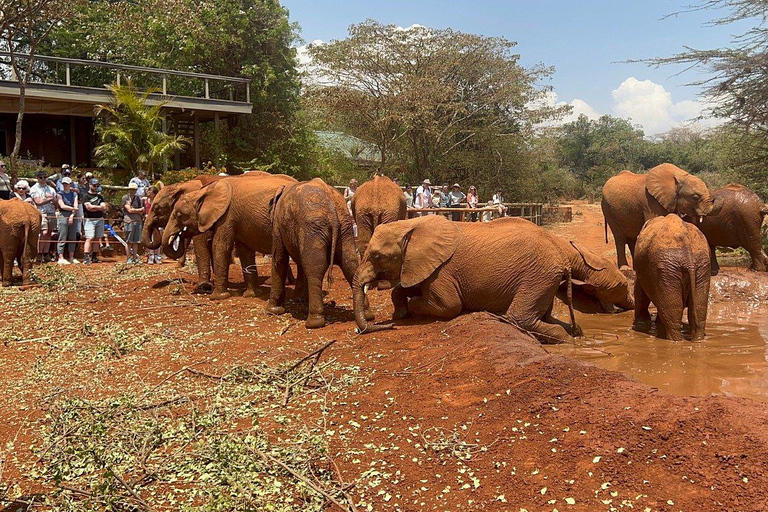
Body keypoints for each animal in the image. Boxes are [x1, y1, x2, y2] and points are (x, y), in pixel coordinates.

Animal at [162, 174, 296, 300]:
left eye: (179, 215)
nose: (179, 233)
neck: (203, 192)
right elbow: (244, 251)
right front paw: (251, 295)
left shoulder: (227, 216)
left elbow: (220, 246)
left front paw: (217, 297)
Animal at [352, 216, 632, 344]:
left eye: (376, 256)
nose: (382, 325)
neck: (413, 224)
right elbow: (404, 287)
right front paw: (400, 313)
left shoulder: (442, 271)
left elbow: (449, 307)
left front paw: (407, 311)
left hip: (538, 274)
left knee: (520, 318)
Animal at [632, 214, 712, 342]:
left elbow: (639, 290)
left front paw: (640, 325)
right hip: (700, 267)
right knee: (698, 310)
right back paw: (697, 340)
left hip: (668, 269)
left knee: (673, 314)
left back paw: (675, 340)